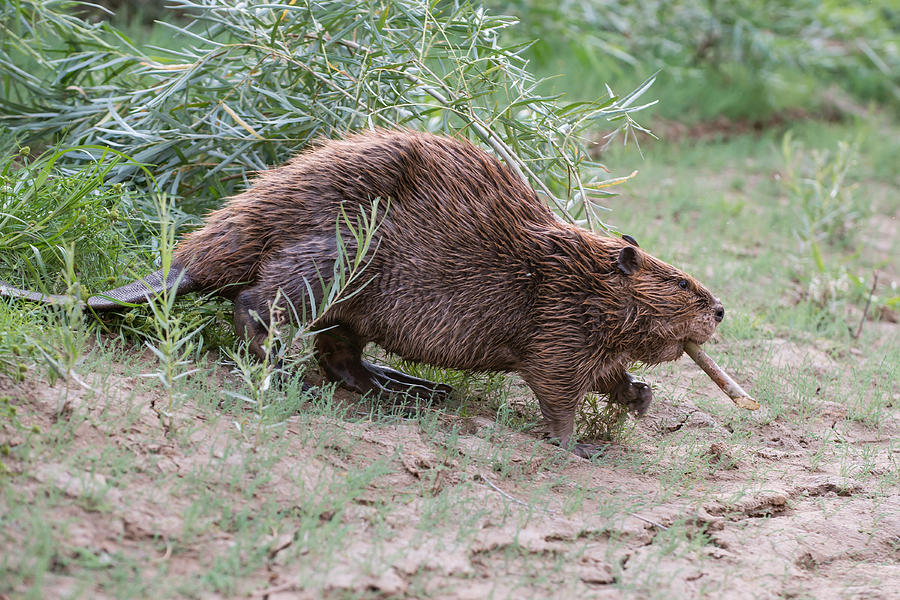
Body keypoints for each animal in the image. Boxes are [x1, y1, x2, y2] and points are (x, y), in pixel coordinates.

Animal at [0, 130, 724, 454]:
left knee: (341, 355)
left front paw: (640, 396)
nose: (720, 308)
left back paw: (409, 387)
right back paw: (274, 365)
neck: (572, 270)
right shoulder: (555, 322)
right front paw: (575, 443)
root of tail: (187, 263)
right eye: (683, 281)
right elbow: (555, 386)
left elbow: (606, 374)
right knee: (259, 305)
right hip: (342, 251)